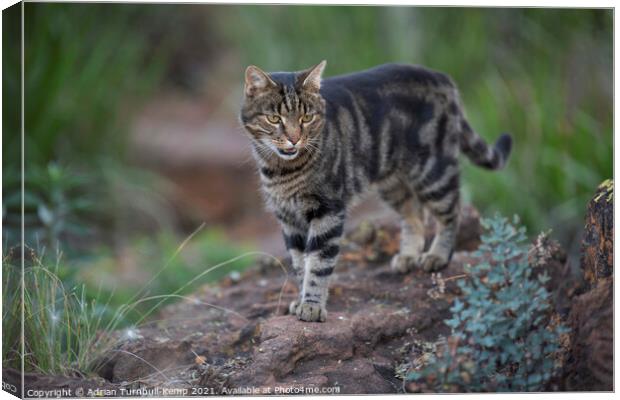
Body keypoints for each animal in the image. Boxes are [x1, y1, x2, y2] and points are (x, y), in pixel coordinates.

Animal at [240, 61, 512, 322]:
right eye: (274, 119)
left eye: (306, 118)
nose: (295, 139)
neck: (282, 170)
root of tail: (441, 77)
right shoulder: (288, 218)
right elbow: (299, 265)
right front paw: (300, 299)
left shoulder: (328, 210)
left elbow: (317, 265)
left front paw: (312, 306)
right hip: (393, 184)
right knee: (415, 216)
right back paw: (408, 256)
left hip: (433, 172)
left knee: (452, 210)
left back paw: (438, 255)